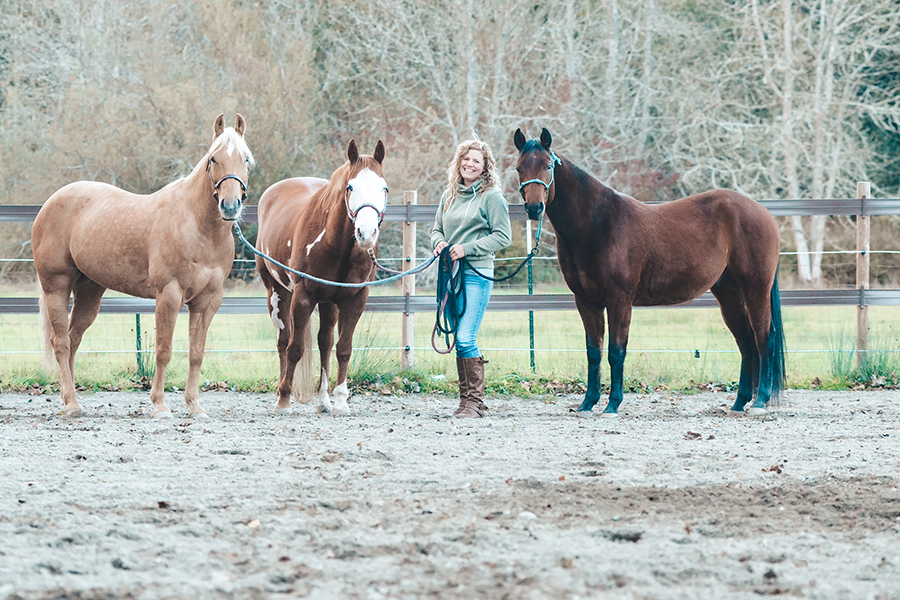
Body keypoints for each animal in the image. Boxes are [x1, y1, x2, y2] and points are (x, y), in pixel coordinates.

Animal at [32, 114, 253, 419]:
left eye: (246, 159)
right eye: (213, 158)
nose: (230, 207)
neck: (197, 226)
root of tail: (49, 204)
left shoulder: (207, 301)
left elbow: (196, 354)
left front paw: (194, 406)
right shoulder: (169, 295)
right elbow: (164, 351)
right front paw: (159, 405)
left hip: (89, 291)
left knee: (73, 339)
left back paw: (69, 399)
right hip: (56, 286)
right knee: (61, 343)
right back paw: (73, 405)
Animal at [255, 139, 387, 416]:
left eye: (384, 188)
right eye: (350, 187)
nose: (366, 233)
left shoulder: (355, 300)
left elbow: (343, 349)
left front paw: (341, 402)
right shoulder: (303, 297)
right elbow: (295, 349)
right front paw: (284, 400)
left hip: (328, 303)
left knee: (325, 343)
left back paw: (324, 400)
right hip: (277, 293)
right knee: (283, 341)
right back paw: (282, 393)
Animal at [514, 128, 785, 417]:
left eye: (548, 166)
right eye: (519, 168)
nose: (534, 208)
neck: (598, 223)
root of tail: (763, 212)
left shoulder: (620, 299)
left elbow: (616, 351)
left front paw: (612, 404)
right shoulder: (586, 301)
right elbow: (594, 352)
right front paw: (587, 403)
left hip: (756, 289)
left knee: (764, 338)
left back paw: (760, 401)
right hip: (729, 293)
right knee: (746, 342)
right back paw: (739, 402)